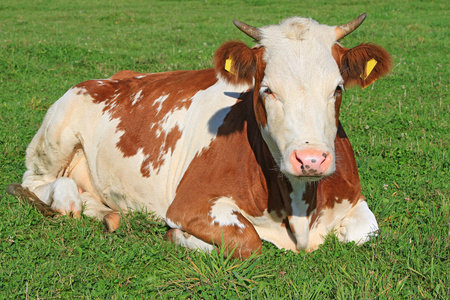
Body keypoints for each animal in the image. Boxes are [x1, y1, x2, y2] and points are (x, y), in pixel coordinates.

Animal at [8, 13, 392, 258]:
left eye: (337, 88)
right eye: (266, 89)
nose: (311, 159)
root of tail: (116, 76)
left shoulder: (353, 199)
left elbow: (366, 232)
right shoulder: (190, 203)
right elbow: (248, 242)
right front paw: (180, 237)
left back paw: (107, 213)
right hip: (56, 132)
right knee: (34, 182)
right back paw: (69, 199)